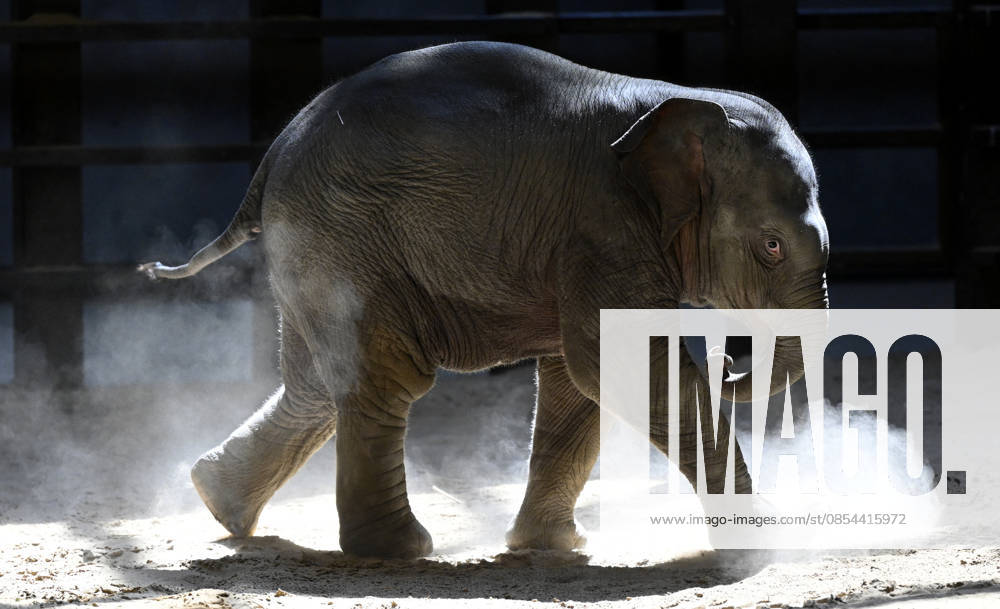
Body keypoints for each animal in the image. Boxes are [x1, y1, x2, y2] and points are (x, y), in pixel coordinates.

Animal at [138, 41, 829, 559]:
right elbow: (627, 370)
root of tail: (270, 160)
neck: (678, 102)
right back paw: (399, 551)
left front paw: (551, 546)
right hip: (344, 236)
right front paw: (762, 545)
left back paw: (217, 502)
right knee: (385, 376)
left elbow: (579, 381)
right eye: (771, 246)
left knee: (316, 386)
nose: (731, 362)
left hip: (316, 249)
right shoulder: (604, 226)